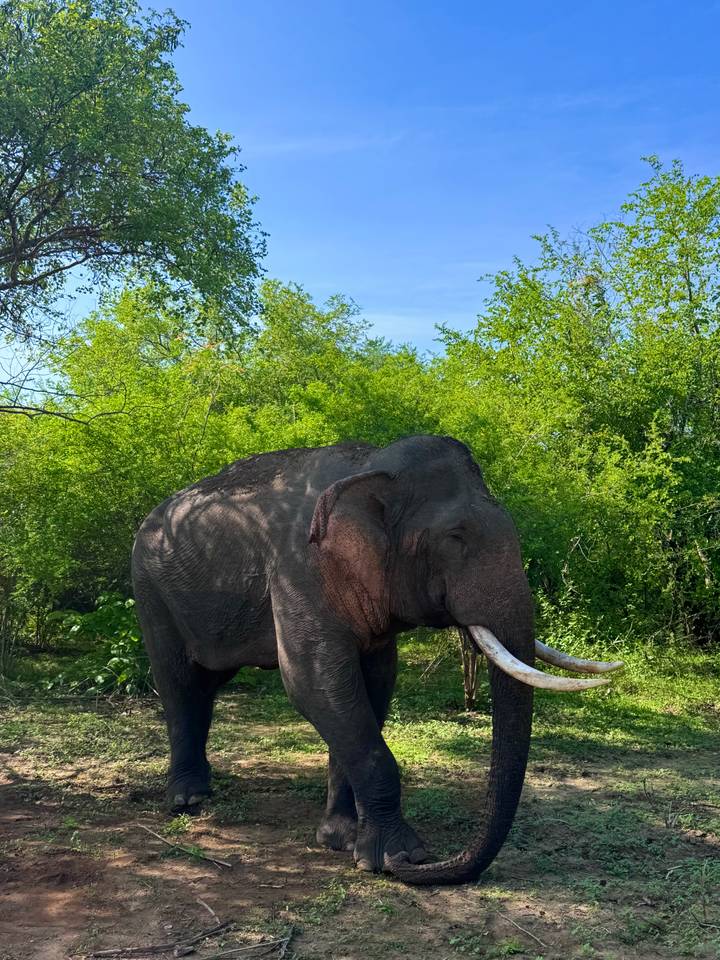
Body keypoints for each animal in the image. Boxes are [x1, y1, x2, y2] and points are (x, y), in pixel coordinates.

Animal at [131, 435, 622, 885]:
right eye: (455, 538)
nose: (418, 865)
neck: (372, 464)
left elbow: (374, 684)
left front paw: (340, 839)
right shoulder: (297, 569)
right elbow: (313, 683)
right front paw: (395, 856)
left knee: (206, 683)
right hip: (150, 589)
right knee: (180, 684)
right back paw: (188, 801)